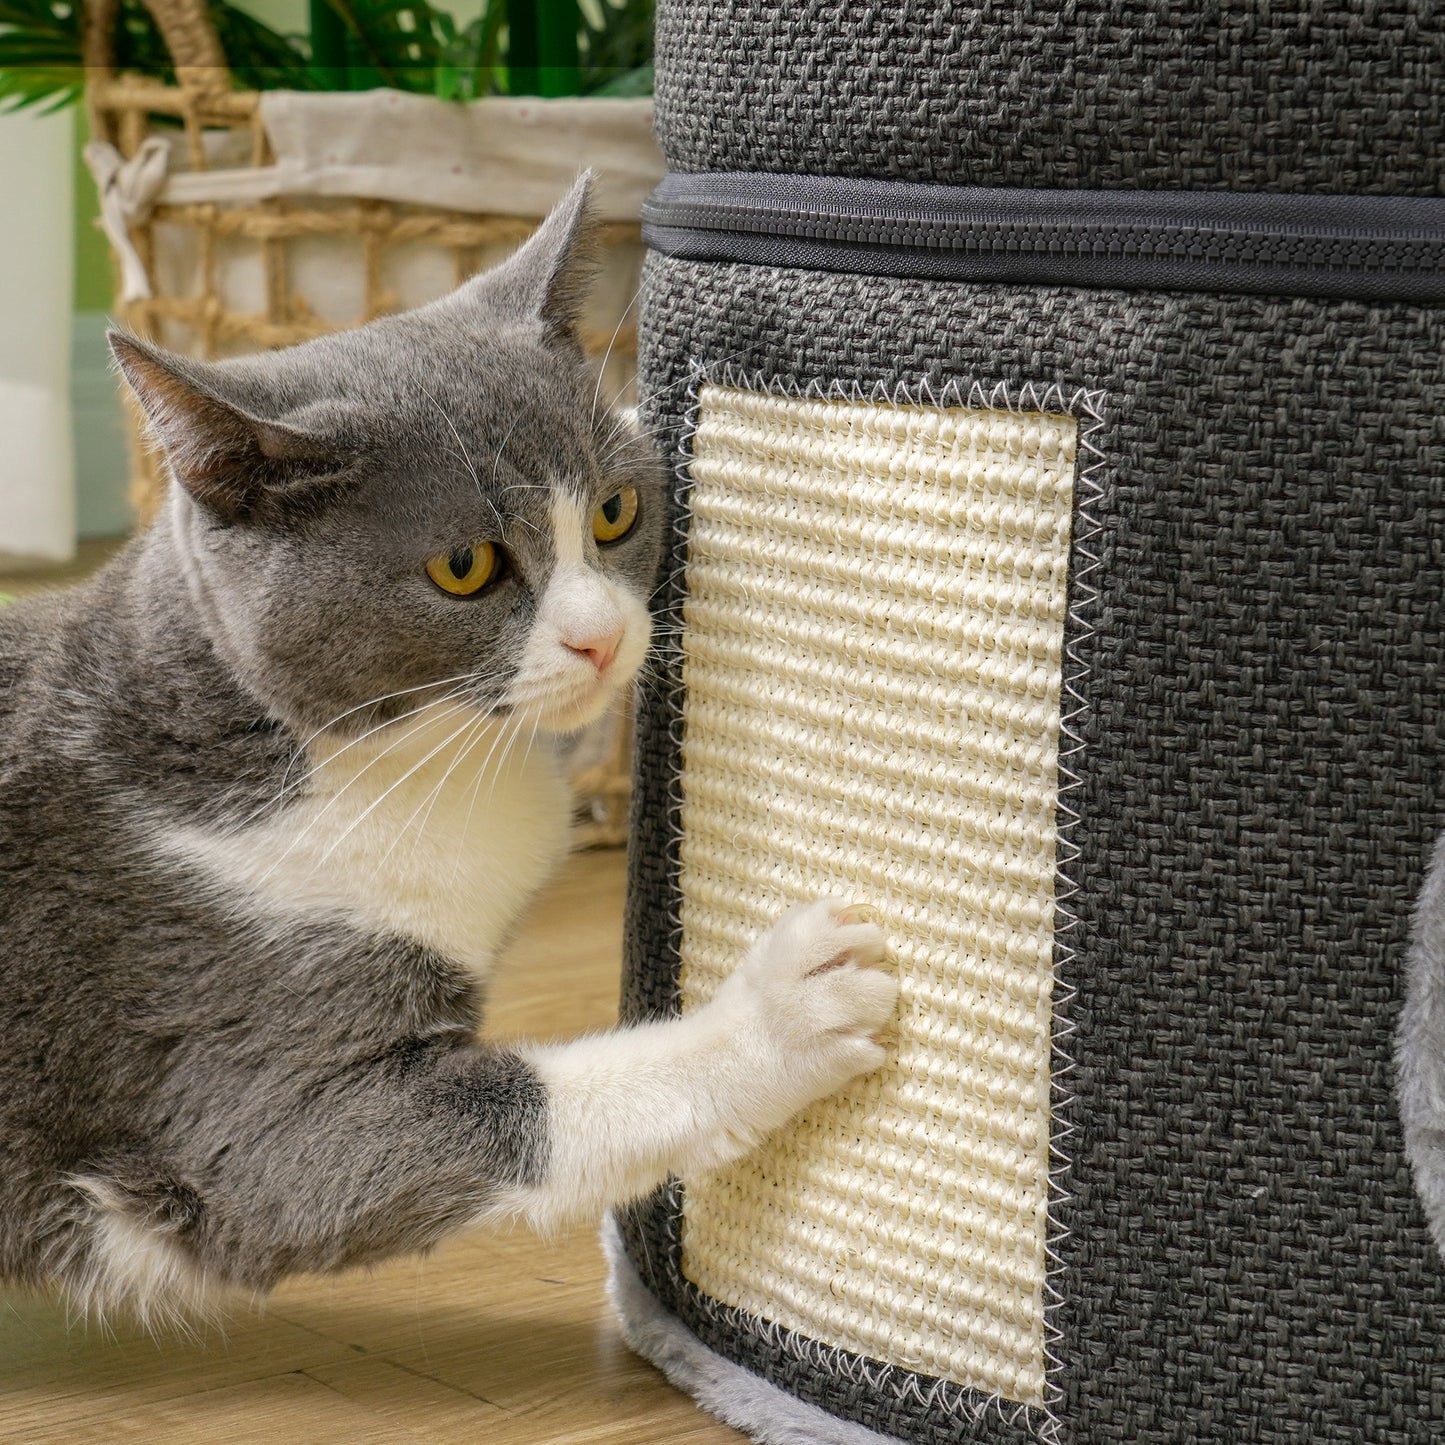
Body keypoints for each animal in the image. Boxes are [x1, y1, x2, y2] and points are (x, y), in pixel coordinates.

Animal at [0, 174, 895, 1323]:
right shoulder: (218, 1044)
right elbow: (500, 1110)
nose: (600, 635)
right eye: (464, 567)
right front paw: (786, 1007)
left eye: (615, 510)